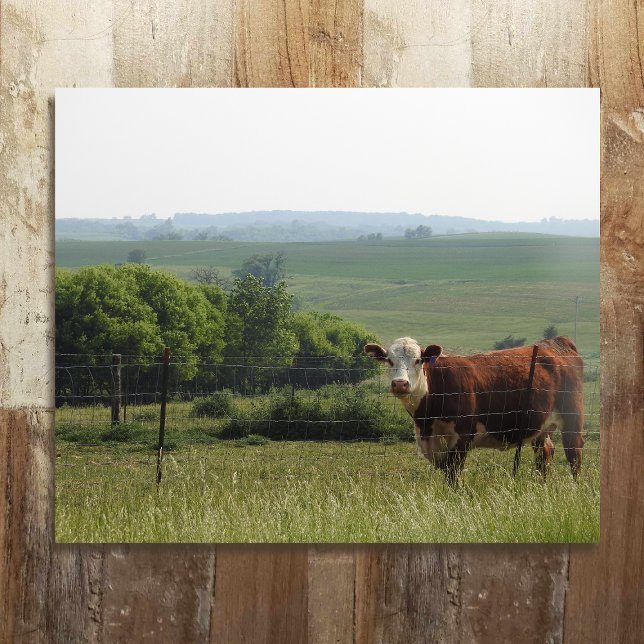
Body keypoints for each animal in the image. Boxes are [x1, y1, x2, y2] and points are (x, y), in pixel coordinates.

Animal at [364, 336, 584, 484]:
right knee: (545, 453)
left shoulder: (461, 438)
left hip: (572, 418)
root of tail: (555, 343)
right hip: (541, 425)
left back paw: (575, 488)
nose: (400, 384)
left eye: (418, 360)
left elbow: (453, 477)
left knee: (574, 453)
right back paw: (541, 485)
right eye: (389, 360)